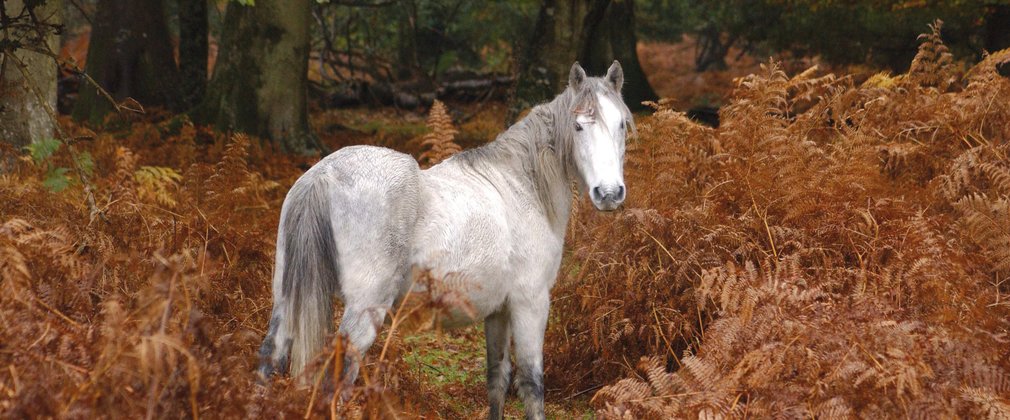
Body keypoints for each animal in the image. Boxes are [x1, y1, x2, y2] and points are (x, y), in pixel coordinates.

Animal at [260, 62, 630, 420]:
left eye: (622, 125)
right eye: (578, 126)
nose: (609, 193)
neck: (520, 185)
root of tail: (321, 176)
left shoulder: (498, 311)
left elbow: (497, 379)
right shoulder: (530, 303)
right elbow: (532, 385)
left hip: (286, 305)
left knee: (268, 361)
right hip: (364, 311)